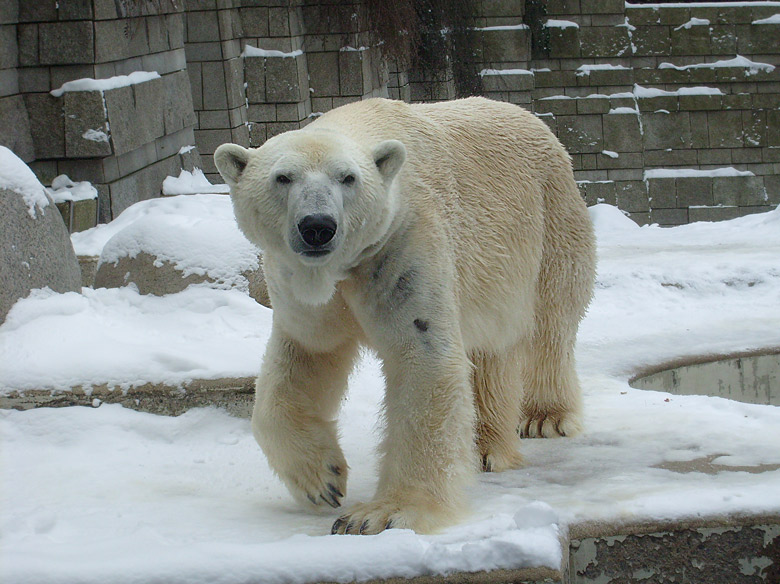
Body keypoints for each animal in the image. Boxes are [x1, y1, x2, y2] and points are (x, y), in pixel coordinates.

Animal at [216, 98, 596, 536]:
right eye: (283, 177)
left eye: (347, 178)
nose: (318, 226)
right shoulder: (303, 290)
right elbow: (302, 360)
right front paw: (323, 480)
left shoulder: (402, 245)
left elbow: (422, 356)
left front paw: (381, 514)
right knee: (489, 348)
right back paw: (484, 446)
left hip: (549, 218)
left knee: (550, 323)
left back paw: (543, 418)